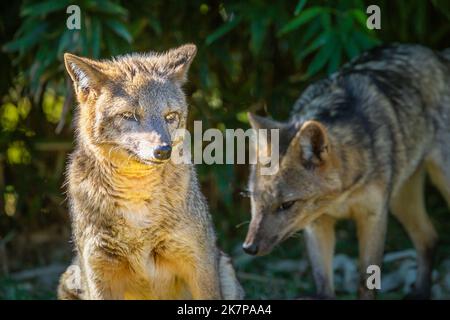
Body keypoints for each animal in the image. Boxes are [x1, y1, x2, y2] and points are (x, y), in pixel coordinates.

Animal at [59, 43, 244, 298]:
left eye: (170, 117)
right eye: (129, 115)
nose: (163, 150)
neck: (137, 200)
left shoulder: (200, 266)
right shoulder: (98, 275)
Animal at [244, 45, 448, 300]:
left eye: (286, 205)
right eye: (254, 199)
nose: (248, 248)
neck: (340, 198)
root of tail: (435, 53)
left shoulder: (374, 217)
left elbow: (366, 283)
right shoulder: (317, 226)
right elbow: (323, 286)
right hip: (401, 200)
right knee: (429, 238)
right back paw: (420, 293)